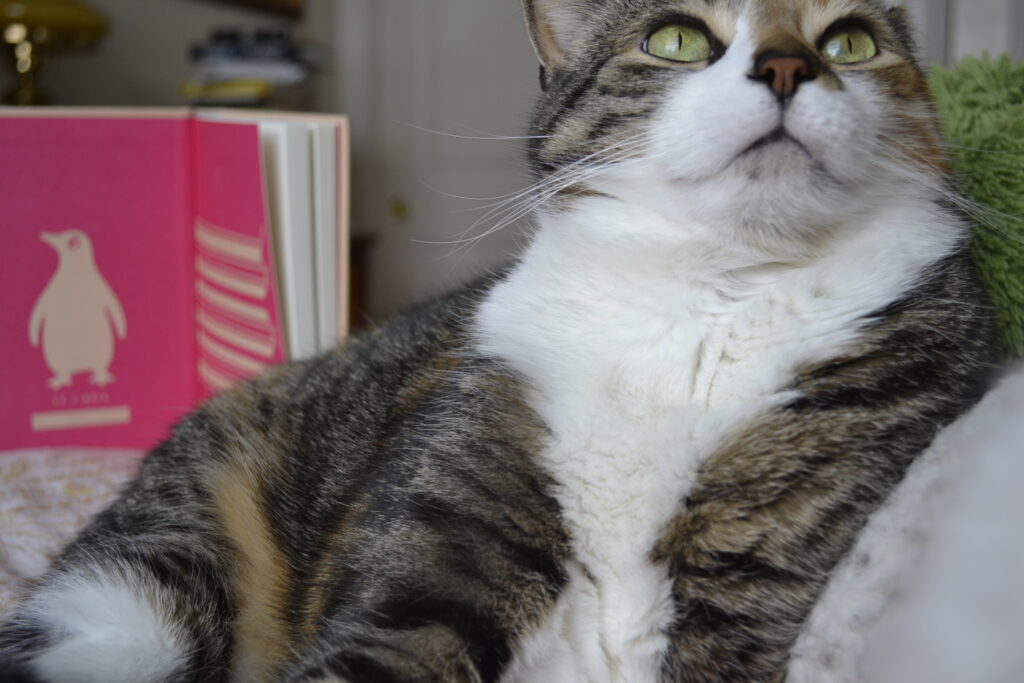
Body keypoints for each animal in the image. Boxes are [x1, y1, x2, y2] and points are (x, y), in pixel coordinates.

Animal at [0, 1, 995, 683]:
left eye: (849, 41)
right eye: (678, 38)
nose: (790, 64)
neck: (705, 303)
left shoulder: (756, 587)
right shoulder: (438, 549)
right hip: (139, 598)